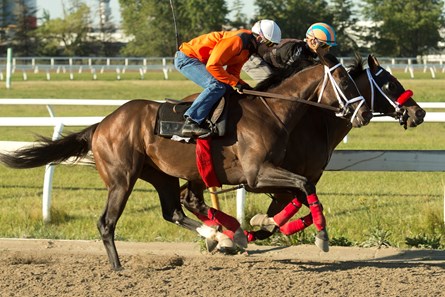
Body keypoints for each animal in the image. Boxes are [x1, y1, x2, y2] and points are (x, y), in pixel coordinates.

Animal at [0, 52, 370, 268]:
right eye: (345, 80)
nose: (364, 113)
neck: (271, 110)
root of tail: (101, 125)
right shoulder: (256, 174)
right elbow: (304, 187)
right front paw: (322, 237)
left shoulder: (267, 175)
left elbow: (299, 194)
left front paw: (257, 227)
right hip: (122, 178)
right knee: (107, 222)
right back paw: (119, 267)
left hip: (161, 174)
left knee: (174, 210)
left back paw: (219, 235)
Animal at [177, 54, 424, 246]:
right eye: (391, 84)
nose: (418, 113)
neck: (318, 123)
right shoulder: (272, 179)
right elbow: (291, 207)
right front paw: (252, 227)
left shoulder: (298, 180)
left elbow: (285, 216)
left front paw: (256, 226)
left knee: (186, 197)